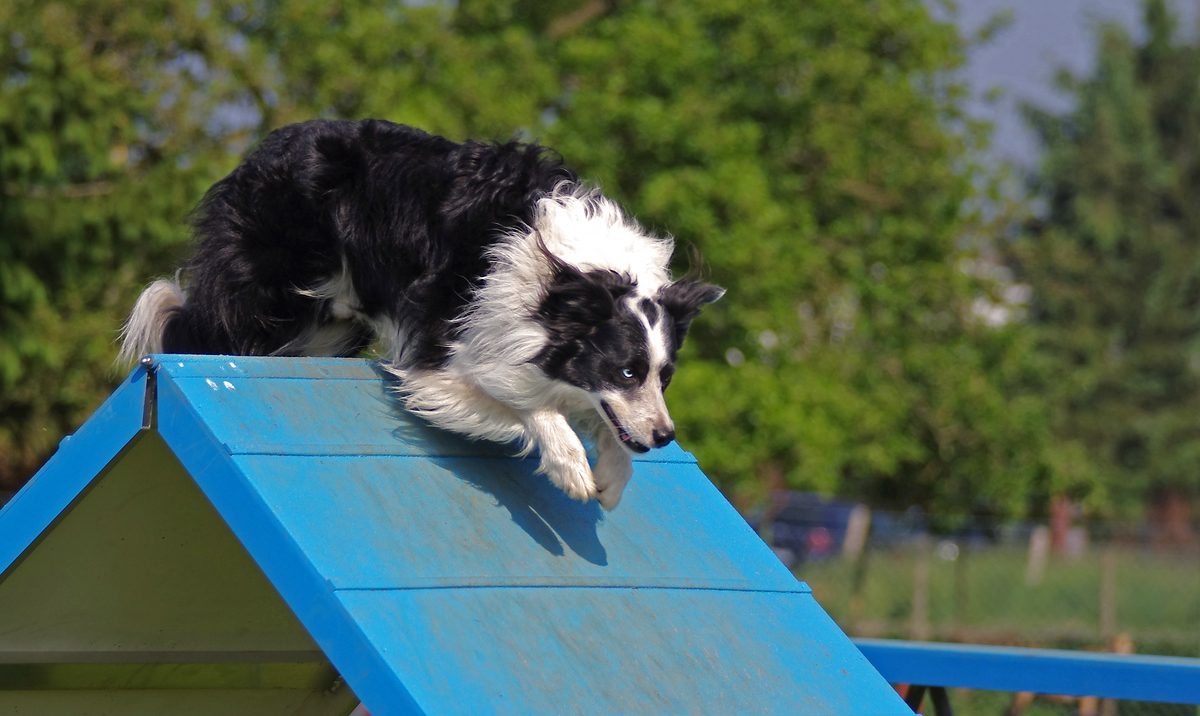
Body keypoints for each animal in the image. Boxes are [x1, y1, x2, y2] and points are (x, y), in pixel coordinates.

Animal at [121, 118, 720, 508]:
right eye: (626, 370)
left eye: (663, 377)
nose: (666, 436)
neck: (567, 280)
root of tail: (273, 143)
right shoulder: (444, 355)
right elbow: (526, 402)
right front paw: (570, 465)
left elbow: (600, 417)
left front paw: (614, 478)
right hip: (265, 294)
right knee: (197, 332)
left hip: (329, 324)